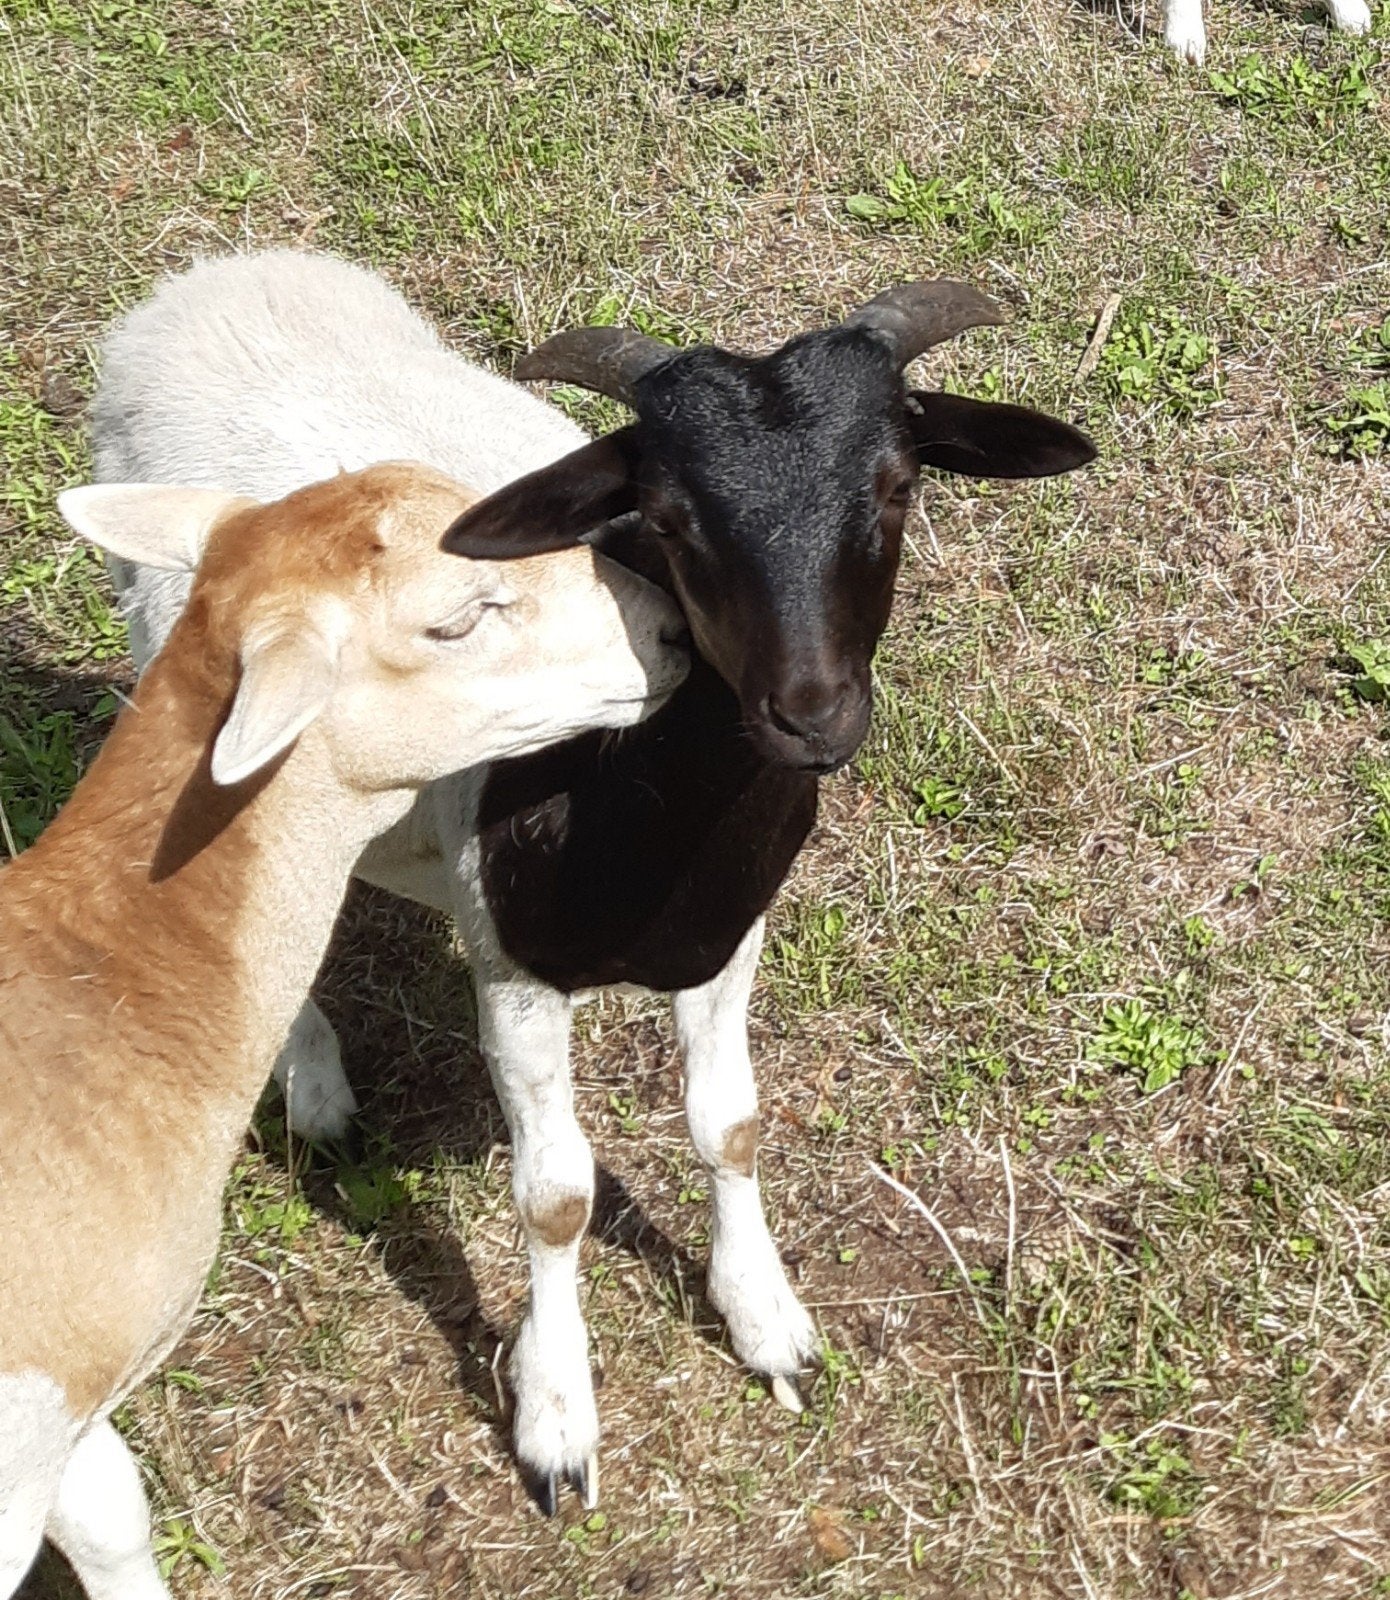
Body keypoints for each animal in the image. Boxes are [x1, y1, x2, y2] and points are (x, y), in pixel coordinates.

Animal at [98, 250, 1096, 1514]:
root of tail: (220, 275)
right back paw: (315, 1087)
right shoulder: (512, 971)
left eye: (898, 486)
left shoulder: (726, 938)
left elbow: (730, 1124)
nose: (810, 714)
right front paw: (558, 1420)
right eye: (666, 521)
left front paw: (766, 1321)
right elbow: (557, 1197)